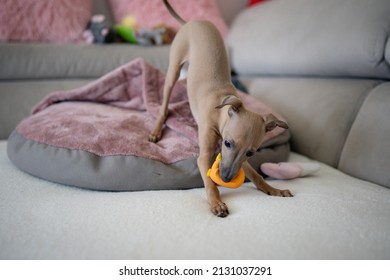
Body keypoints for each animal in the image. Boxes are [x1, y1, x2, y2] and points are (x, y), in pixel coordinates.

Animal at [149, 0, 292, 217]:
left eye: (251, 153)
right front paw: (216, 203)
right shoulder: (204, 156)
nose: (225, 178)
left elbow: (255, 174)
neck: (220, 110)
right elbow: (209, 181)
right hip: (173, 69)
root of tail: (193, 21)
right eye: (227, 143)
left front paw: (274, 189)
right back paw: (156, 129)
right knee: (164, 104)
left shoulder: (240, 159)